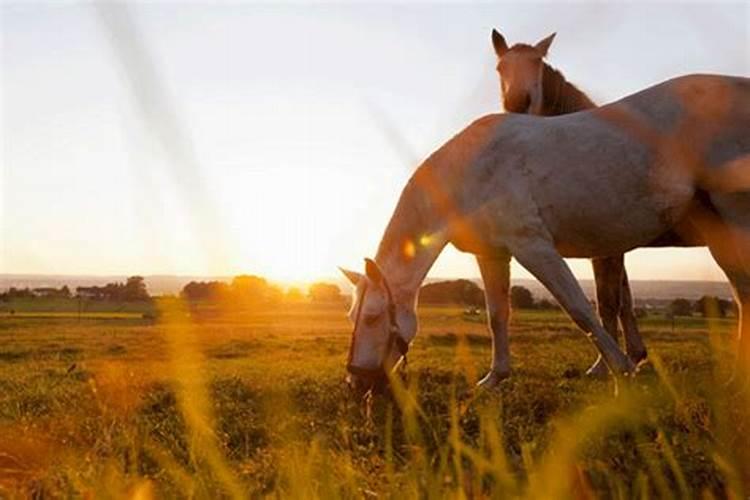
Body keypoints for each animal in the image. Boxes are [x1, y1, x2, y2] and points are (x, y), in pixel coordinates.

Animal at [342, 75, 750, 394]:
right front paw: (494, 378)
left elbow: (580, 309)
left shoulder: (534, 247)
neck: (470, 172)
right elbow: (497, 315)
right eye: (352, 316)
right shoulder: (493, 253)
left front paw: (621, 372)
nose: (356, 381)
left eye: (374, 318)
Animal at [490, 30, 648, 382]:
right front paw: (634, 356)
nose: (518, 103)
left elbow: (609, 300)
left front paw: (605, 366)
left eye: (537, 62)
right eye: (500, 67)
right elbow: (623, 296)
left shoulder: (609, 240)